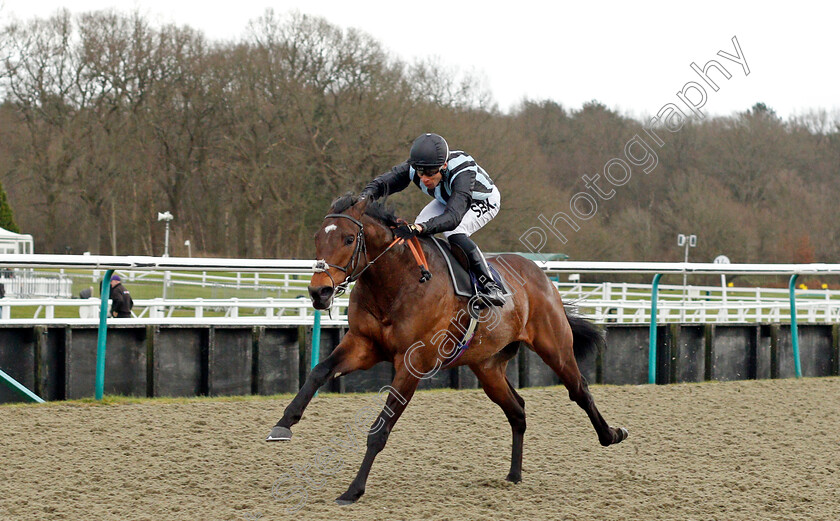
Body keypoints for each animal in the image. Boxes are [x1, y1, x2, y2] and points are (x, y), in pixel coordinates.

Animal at [266, 194, 628, 504]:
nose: (319, 292)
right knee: (517, 409)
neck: (397, 284)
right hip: (488, 367)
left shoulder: (412, 362)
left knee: (579, 390)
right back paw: (513, 474)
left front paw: (353, 490)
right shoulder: (362, 345)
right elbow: (318, 371)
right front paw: (283, 424)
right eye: (317, 238)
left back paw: (612, 434)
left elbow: (380, 429)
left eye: (348, 239)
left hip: (555, 348)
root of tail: (540, 274)